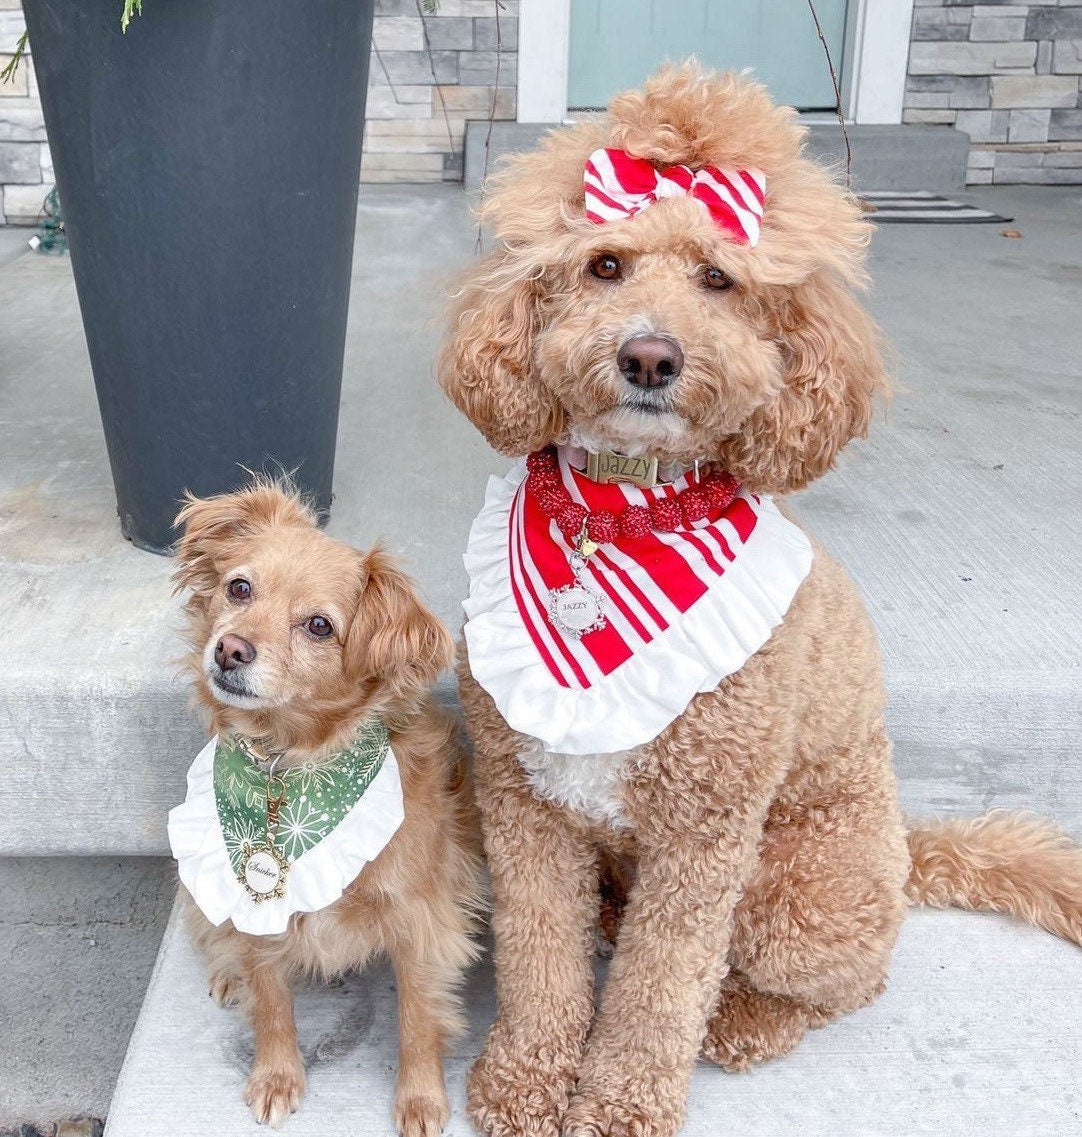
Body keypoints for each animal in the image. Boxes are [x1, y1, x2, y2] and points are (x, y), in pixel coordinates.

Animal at [170, 484, 481, 1132]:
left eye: (319, 626)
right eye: (239, 588)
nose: (230, 649)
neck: (290, 768)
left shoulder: (420, 920)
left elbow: (418, 1019)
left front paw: (420, 1098)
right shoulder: (255, 906)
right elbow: (270, 999)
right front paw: (275, 1075)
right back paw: (225, 971)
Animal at [438, 64, 1082, 1137]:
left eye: (719, 280)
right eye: (605, 265)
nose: (650, 357)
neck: (623, 511)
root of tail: (909, 851)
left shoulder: (705, 832)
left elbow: (663, 986)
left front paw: (618, 1102)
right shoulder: (528, 802)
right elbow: (540, 954)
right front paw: (524, 1079)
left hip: (800, 897)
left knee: (842, 984)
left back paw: (742, 1021)